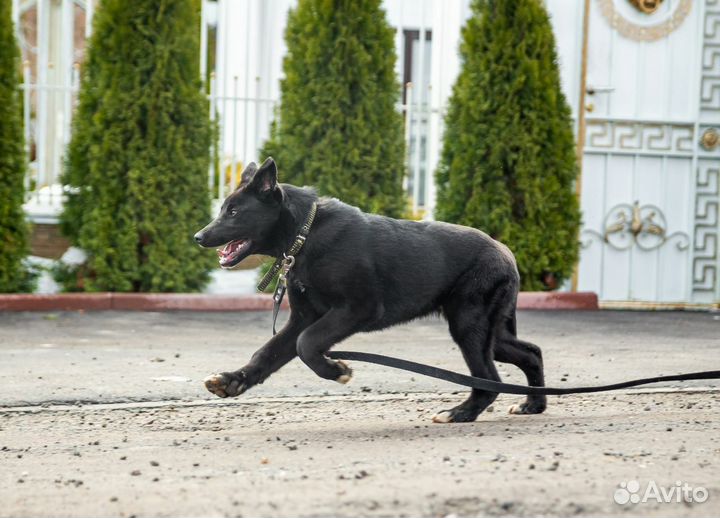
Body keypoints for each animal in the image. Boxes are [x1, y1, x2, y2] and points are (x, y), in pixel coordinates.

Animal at [194, 160, 544, 424]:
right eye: (223, 209)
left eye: (234, 212)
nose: (198, 237)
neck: (305, 235)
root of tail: (506, 254)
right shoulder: (303, 318)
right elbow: (268, 352)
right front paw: (233, 380)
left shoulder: (356, 309)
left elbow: (306, 344)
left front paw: (336, 370)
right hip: (490, 332)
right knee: (530, 353)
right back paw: (533, 405)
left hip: (469, 325)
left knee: (489, 379)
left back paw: (460, 413)